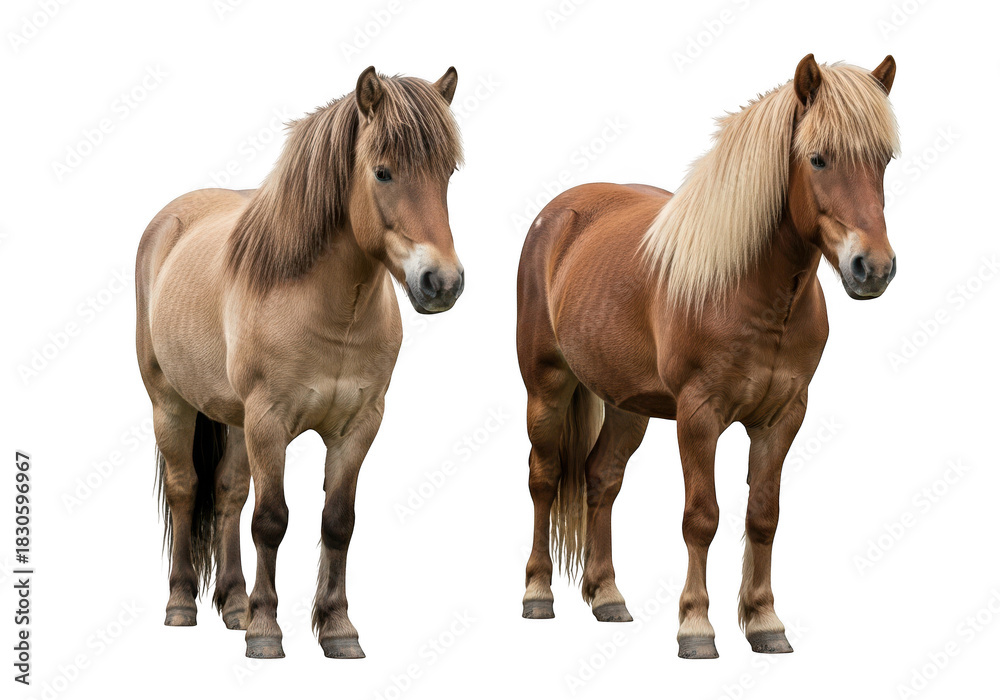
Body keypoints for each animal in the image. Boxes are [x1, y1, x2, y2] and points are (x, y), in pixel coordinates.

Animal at [135, 66, 465, 659]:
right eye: (383, 172)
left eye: (447, 172)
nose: (442, 283)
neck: (330, 310)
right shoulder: (269, 420)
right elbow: (271, 520)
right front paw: (267, 630)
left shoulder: (358, 425)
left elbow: (337, 522)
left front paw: (338, 628)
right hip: (169, 404)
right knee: (185, 489)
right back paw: (181, 604)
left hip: (233, 418)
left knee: (227, 493)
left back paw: (234, 604)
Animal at [516, 54, 899, 659]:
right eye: (817, 158)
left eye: (883, 160)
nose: (874, 268)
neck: (750, 287)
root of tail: (559, 215)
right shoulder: (698, 415)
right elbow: (702, 518)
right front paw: (696, 627)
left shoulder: (783, 417)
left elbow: (763, 516)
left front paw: (765, 622)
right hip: (545, 388)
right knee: (544, 478)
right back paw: (537, 594)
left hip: (627, 405)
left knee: (602, 479)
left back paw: (608, 597)